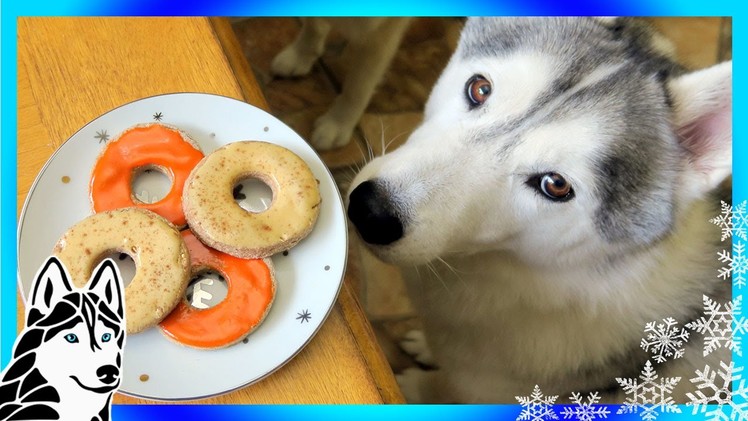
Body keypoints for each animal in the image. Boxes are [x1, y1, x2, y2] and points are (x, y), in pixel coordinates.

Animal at [348, 18, 732, 402]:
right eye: (479, 89)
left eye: (555, 185)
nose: (370, 211)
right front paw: (427, 348)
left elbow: (447, 386)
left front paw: (414, 386)